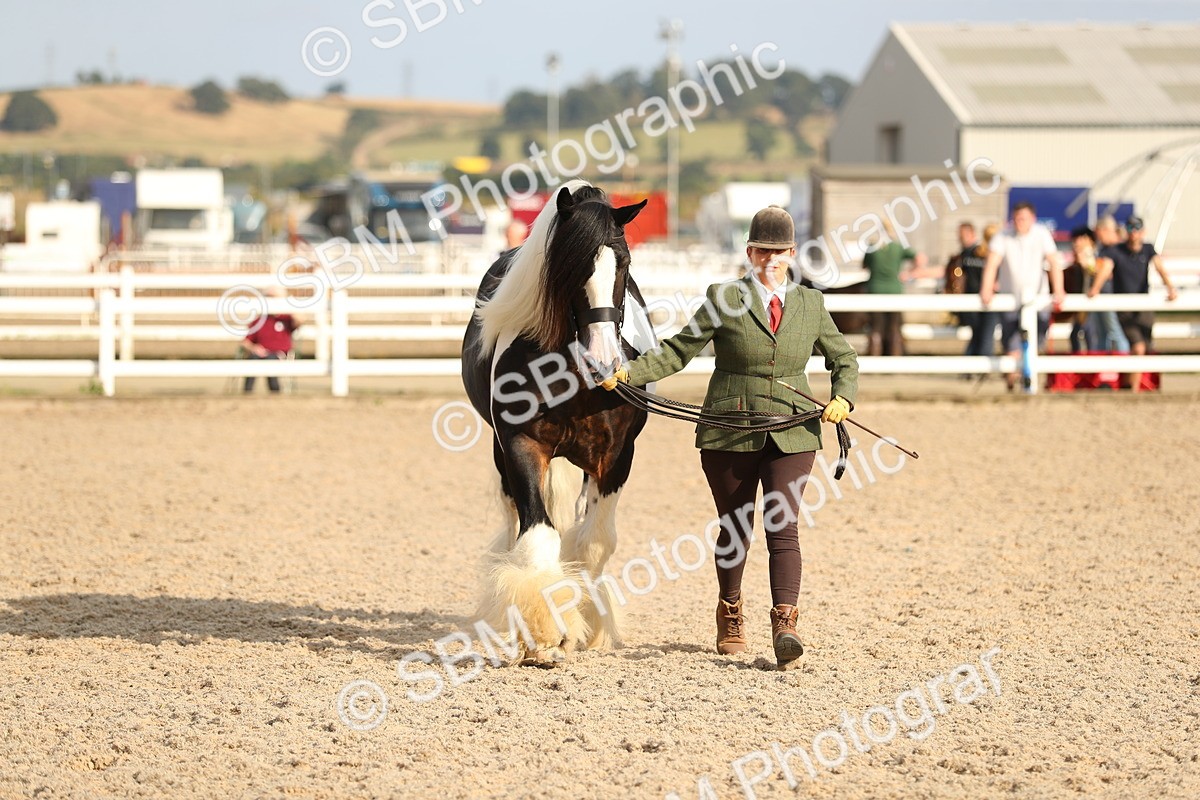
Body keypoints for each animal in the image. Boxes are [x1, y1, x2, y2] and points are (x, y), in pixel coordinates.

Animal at [461, 180, 651, 665]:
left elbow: (594, 542)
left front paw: (588, 625)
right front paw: (544, 633)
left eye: (624, 265)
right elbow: (538, 535)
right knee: (517, 526)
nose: (605, 363)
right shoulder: (521, 445)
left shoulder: (615, 458)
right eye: (568, 267)